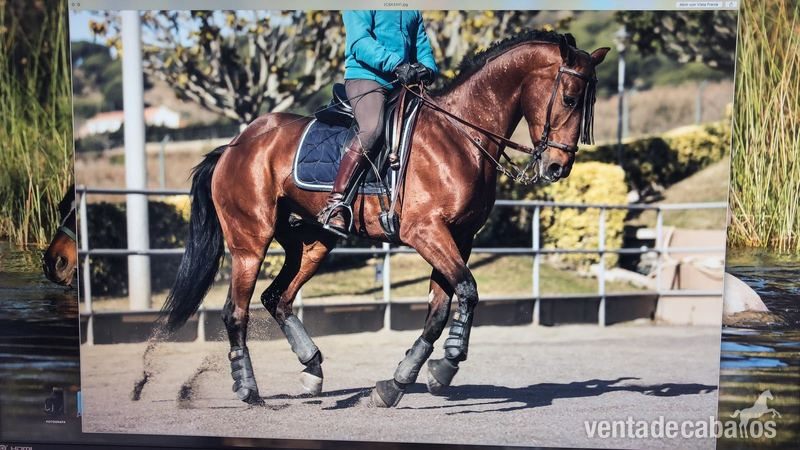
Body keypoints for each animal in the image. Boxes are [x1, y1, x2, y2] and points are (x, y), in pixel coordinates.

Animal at [161, 30, 609, 408]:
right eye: (570, 98)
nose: (557, 168)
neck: (460, 136)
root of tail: (235, 145)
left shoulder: (458, 238)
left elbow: (438, 311)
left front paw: (400, 381)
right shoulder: (426, 232)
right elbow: (467, 290)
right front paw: (448, 363)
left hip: (312, 242)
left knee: (278, 298)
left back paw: (312, 369)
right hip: (250, 244)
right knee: (235, 311)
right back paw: (249, 389)